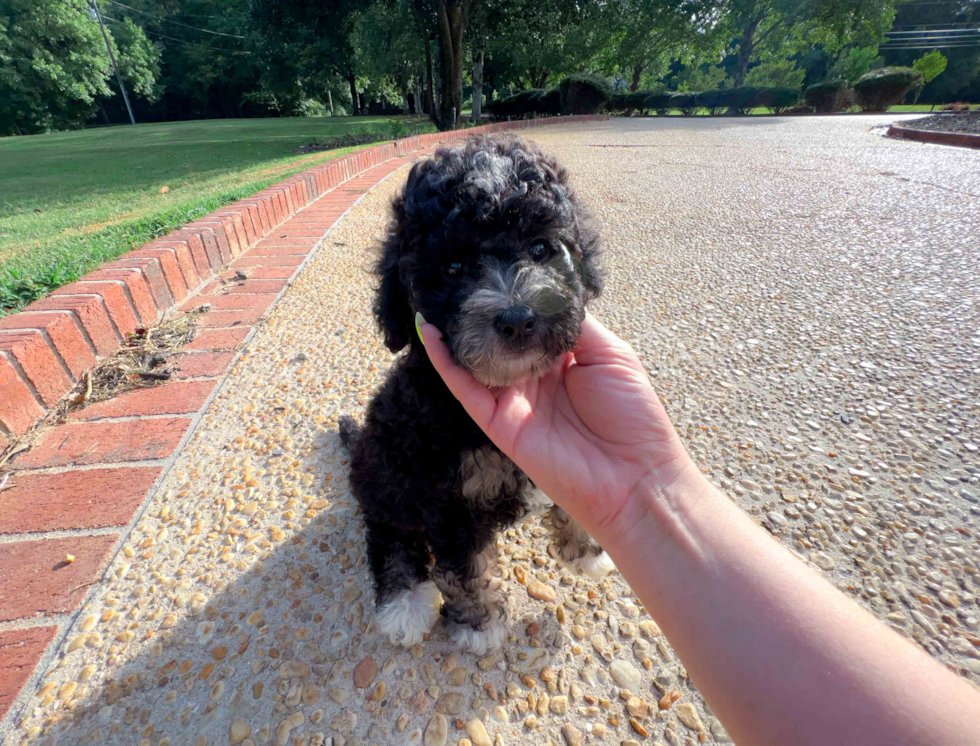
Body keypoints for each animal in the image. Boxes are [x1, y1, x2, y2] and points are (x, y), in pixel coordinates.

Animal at [338, 134, 612, 652]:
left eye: (540, 248)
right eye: (452, 266)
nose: (518, 318)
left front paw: (587, 550)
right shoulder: (449, 497)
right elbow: (464, 567)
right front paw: (481, 624)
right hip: (383, 476)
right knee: (388, 535)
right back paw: (402, 603)